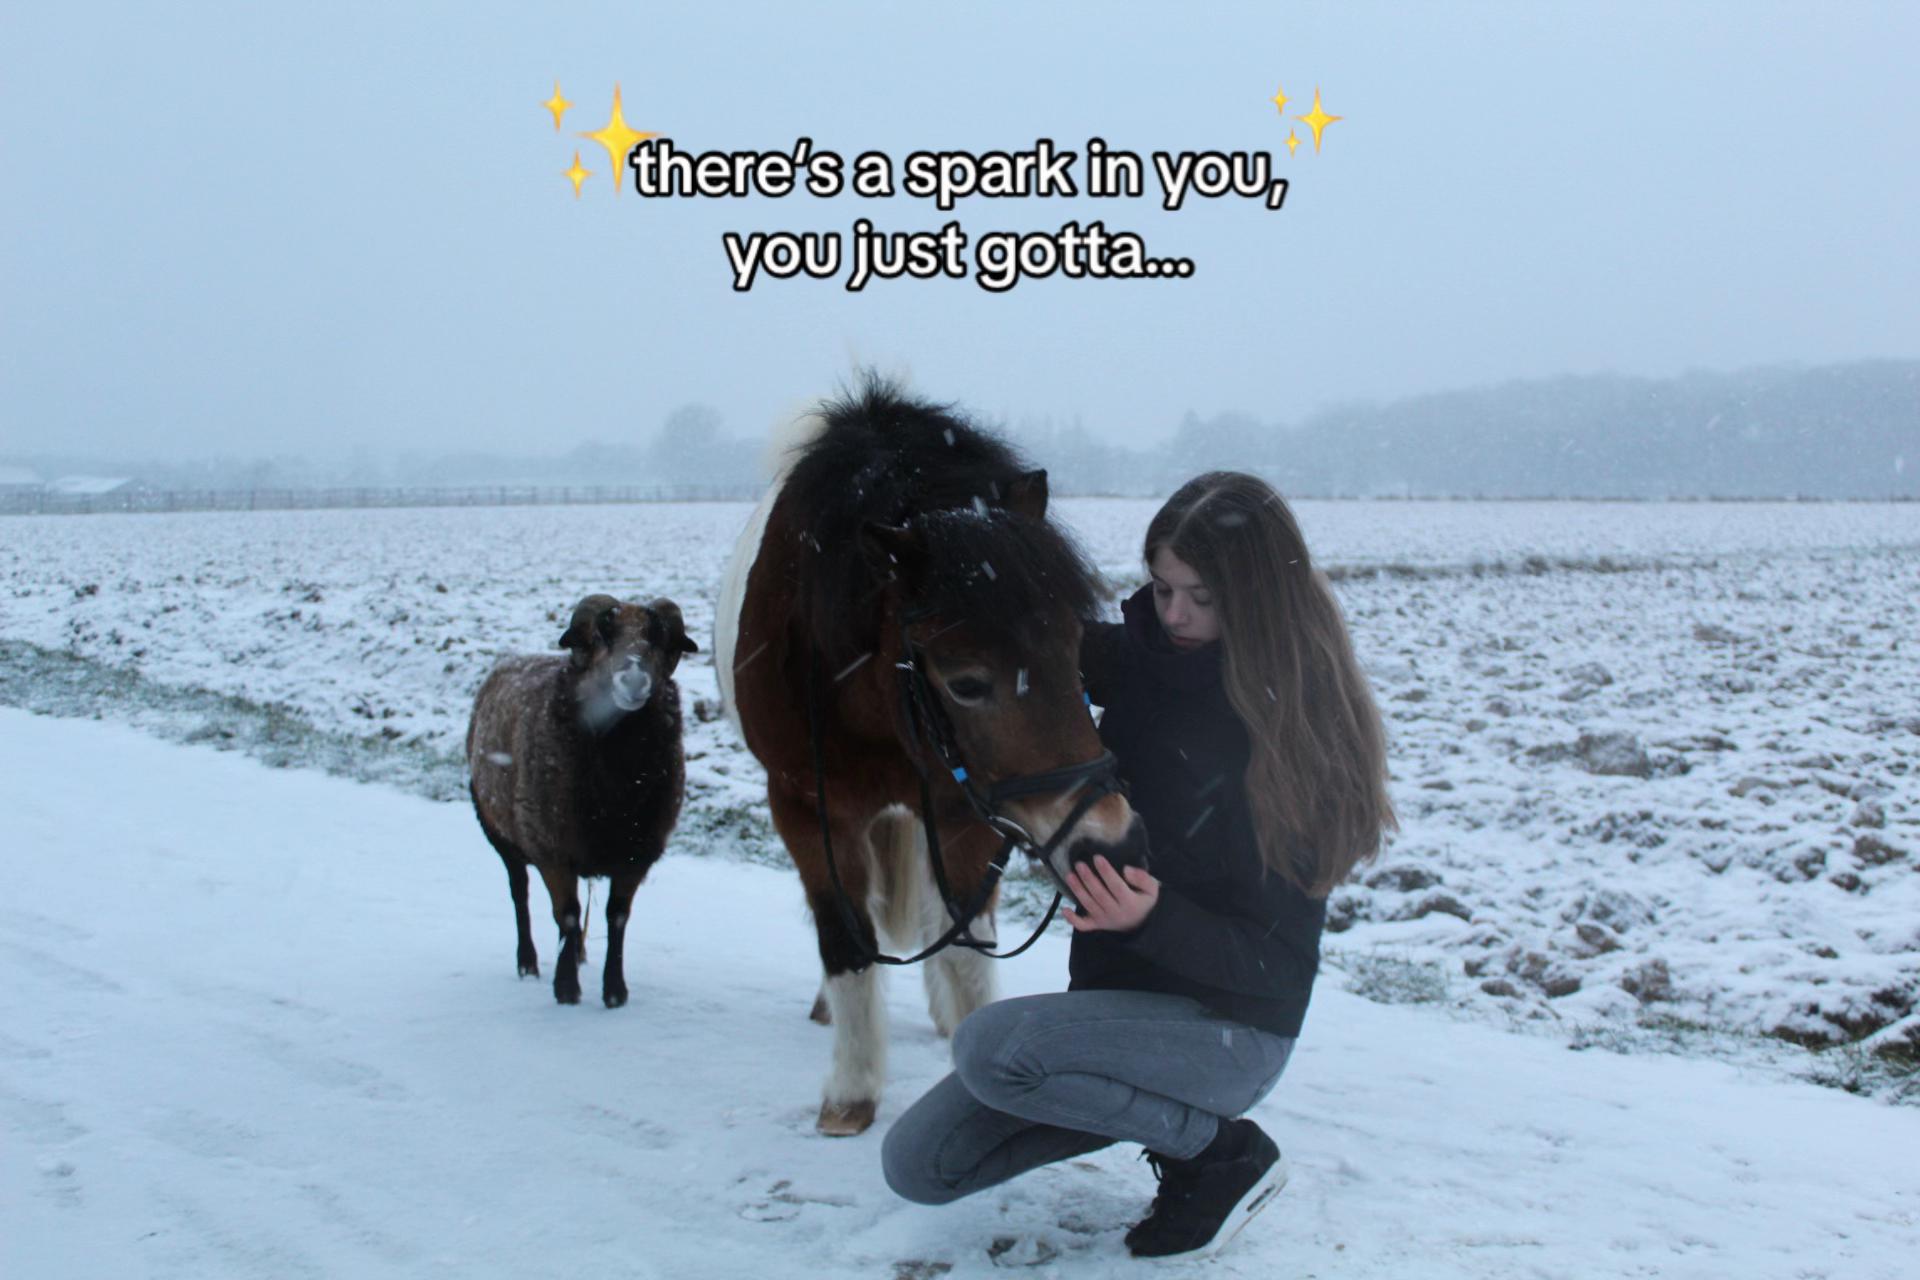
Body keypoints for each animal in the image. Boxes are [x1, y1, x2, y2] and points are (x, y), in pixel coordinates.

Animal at [466, 593, 698, 1007]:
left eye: (658, 638)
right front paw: (566, 989)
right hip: (498, 831)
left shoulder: (636, 855)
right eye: (601, 636)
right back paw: (528, 963)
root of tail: (509, 662)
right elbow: (568, 915)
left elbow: (616, 916)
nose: (633, 679)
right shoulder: (553, 850)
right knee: (520, 893)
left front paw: (615, 991)